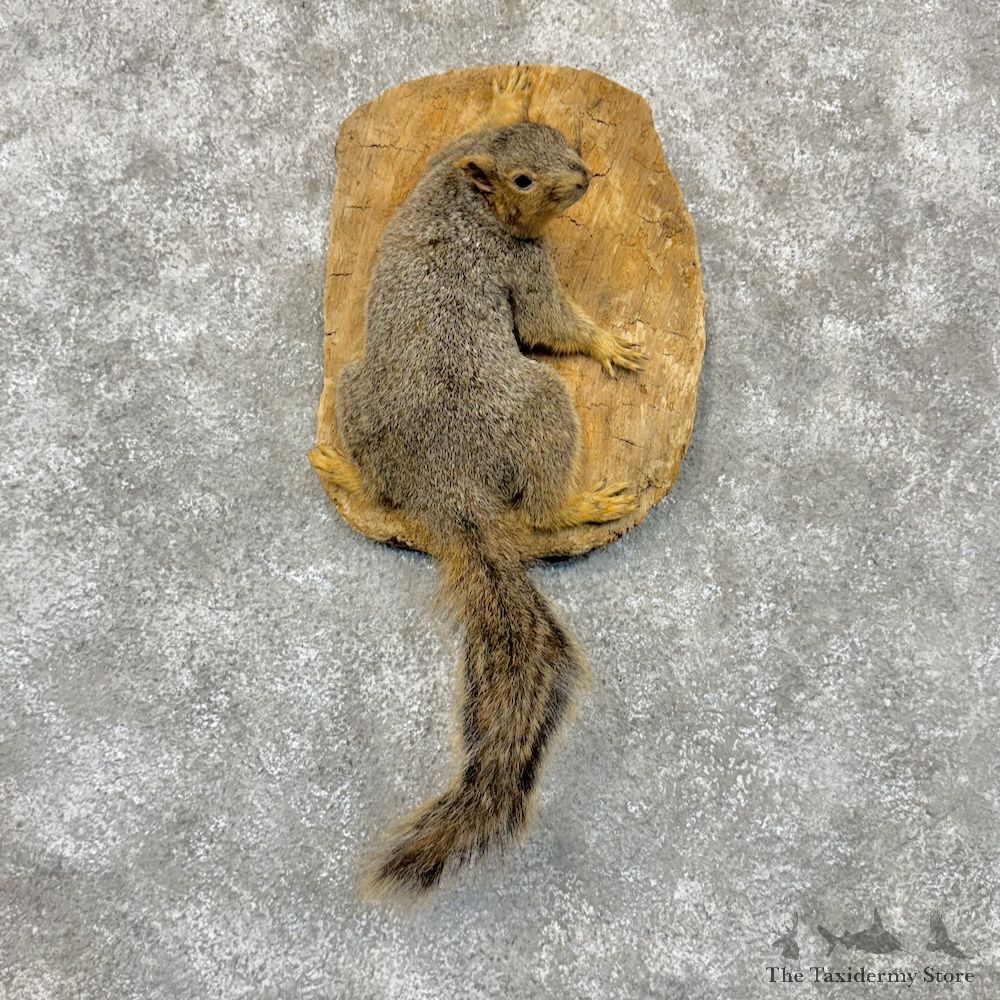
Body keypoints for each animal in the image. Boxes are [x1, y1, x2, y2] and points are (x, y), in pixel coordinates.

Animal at [309, 66, 647, 897]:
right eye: (525, 179)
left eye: (560, 137)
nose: (584, 177)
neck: (466, 193)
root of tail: (449, 483)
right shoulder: (519, 263)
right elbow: (549, 322)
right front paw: (606, 344)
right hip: (540, 407)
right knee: (543, 507)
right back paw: (585, 498)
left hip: (355, 395)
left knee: (382, 491)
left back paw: (339, 465)